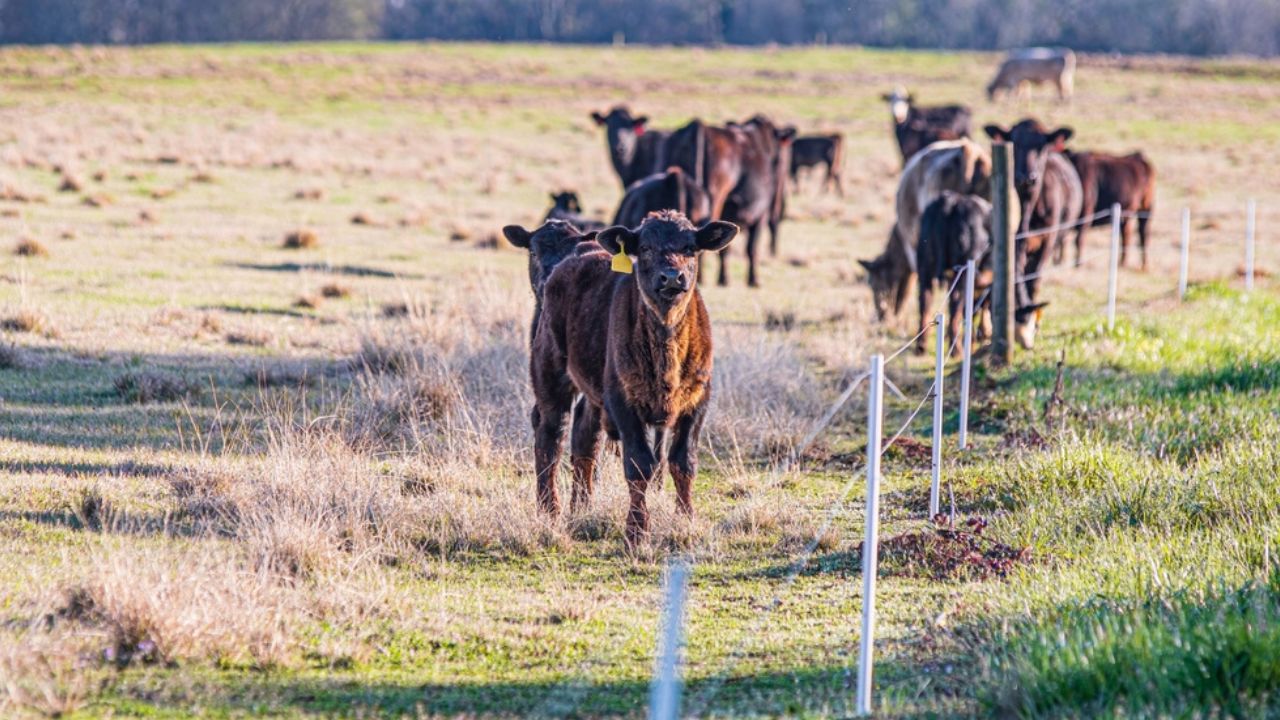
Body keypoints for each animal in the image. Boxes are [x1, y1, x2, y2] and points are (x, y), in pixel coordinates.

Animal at [524, 210, 737, 545]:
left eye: (690, 247)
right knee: (550, 437)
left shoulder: (697, 403)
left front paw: (686, 518)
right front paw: (636, 531)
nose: (671, 277)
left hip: (593, 394)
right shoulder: (624, 403)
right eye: (645, 247)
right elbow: (639, 465)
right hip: (551, 377)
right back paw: (549, 510)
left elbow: (683, 462)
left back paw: (581, 508)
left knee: (584, 437)